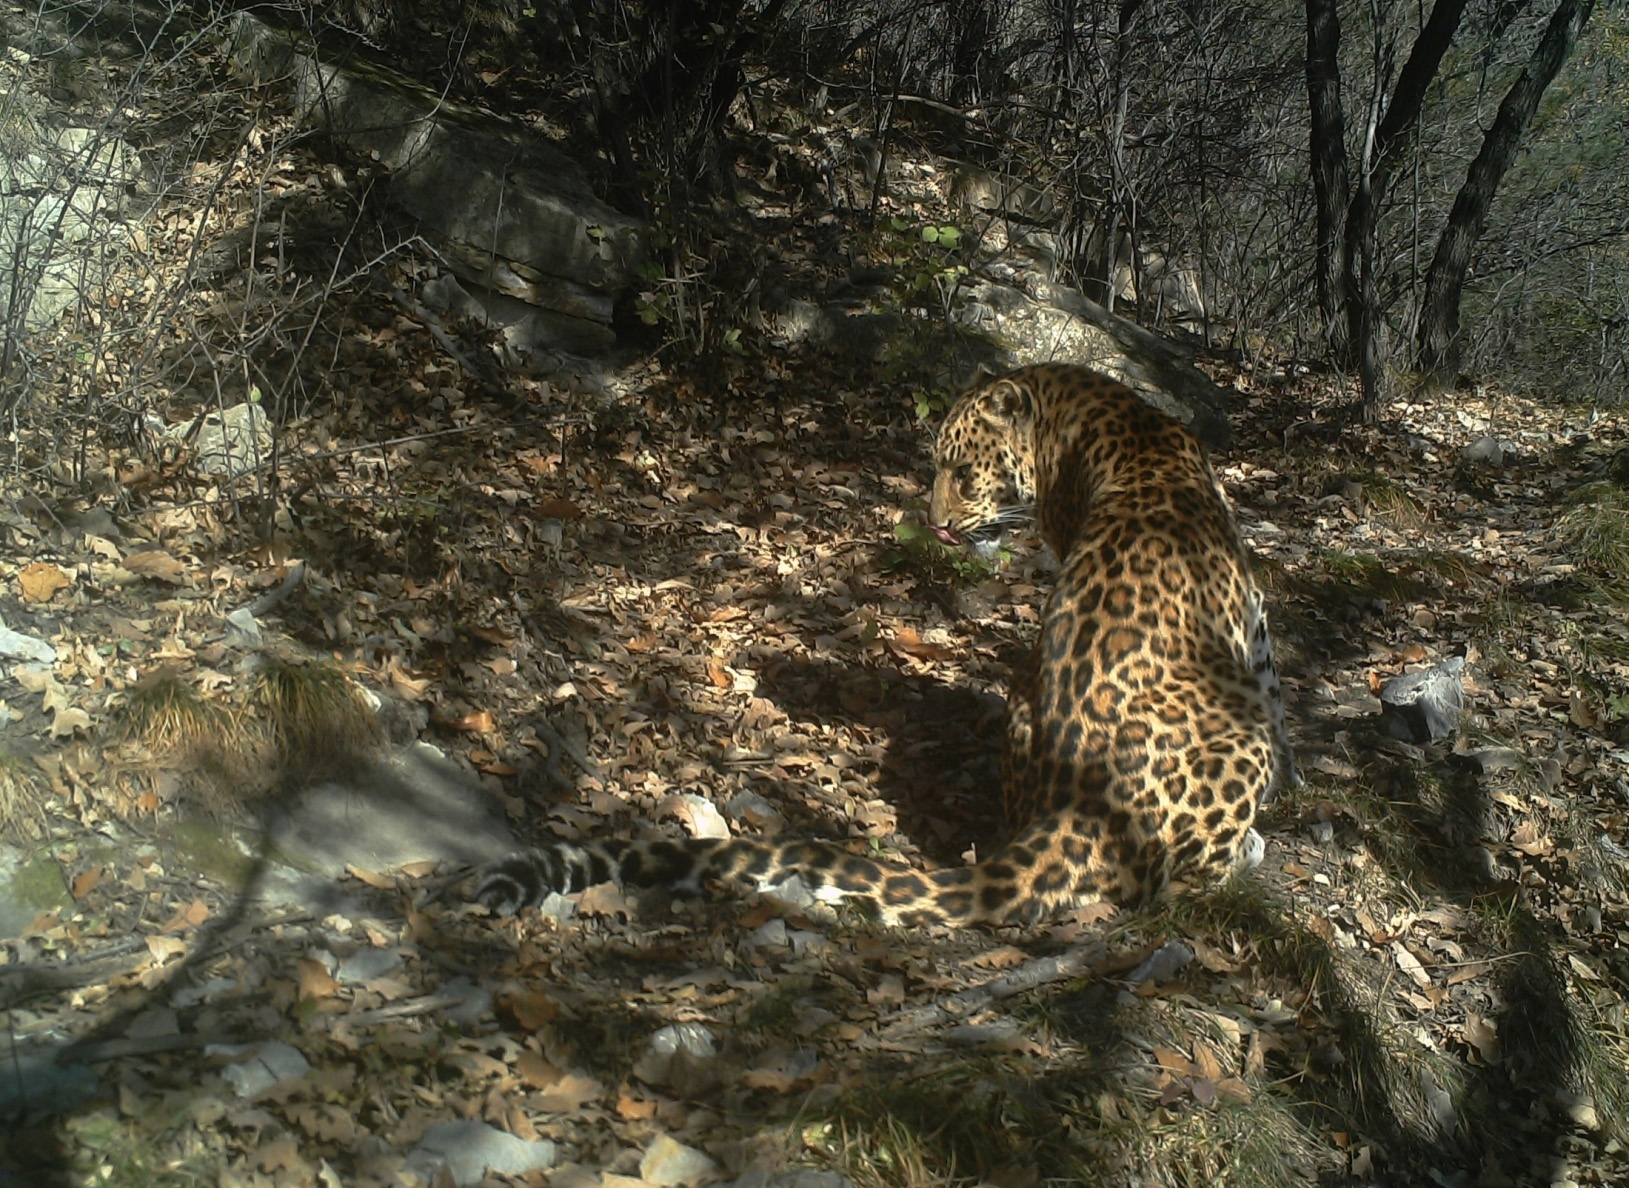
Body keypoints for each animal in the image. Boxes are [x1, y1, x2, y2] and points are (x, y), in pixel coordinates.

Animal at [475, 361, 1296, 925]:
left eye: (963, 471)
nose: (934, 525)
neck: (1085, 419)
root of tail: (1078, 810)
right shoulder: (1253, 630)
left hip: (1023, 701)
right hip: (1241, 741)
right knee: (1174, 887)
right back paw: (1247, 853)